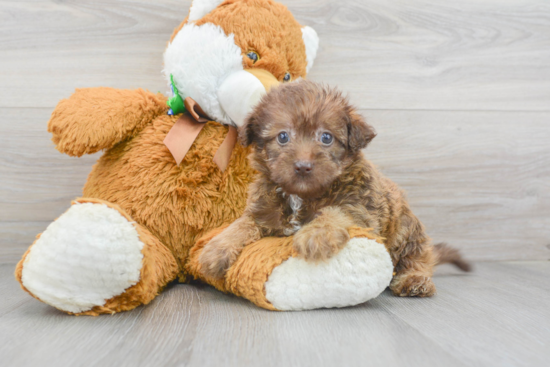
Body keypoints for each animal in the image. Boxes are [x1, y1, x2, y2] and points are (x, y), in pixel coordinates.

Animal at [201, 81, 472, 300]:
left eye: (326, 138)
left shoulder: (359, 207)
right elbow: (242, 224)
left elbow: (334, 212)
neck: (302, 195)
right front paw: (216, 249)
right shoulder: (262, 211)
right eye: (283, 137)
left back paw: (415, 280)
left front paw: (317, 234)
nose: (303, 166)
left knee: (417, 259)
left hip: (406, 231)